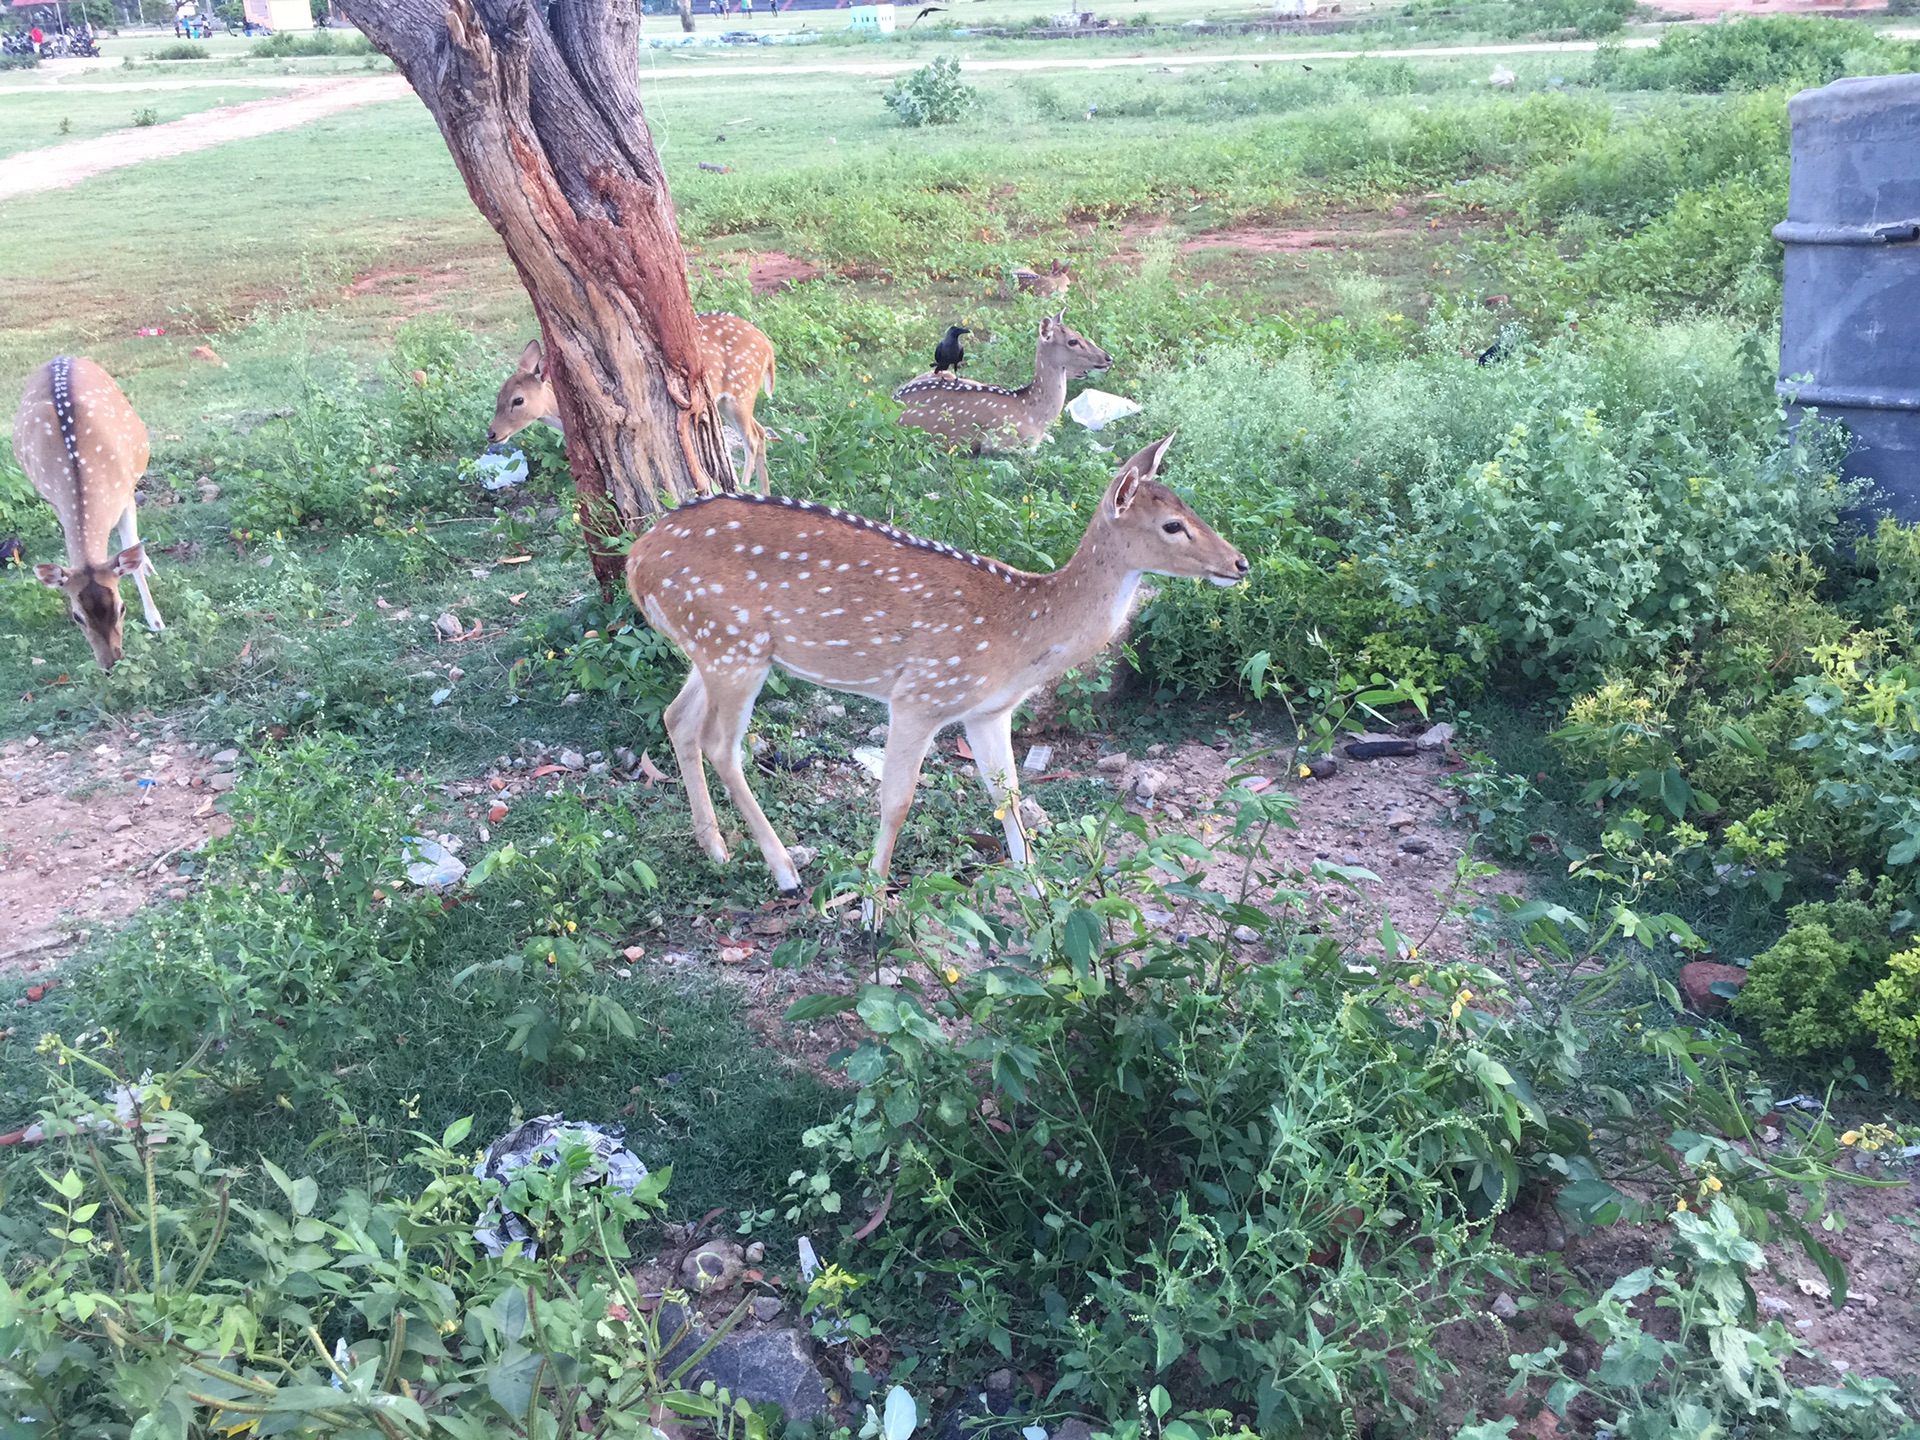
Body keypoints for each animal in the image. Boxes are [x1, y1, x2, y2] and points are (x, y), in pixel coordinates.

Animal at [13, 360, 161, 675]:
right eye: (77, 616)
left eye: (121, 607)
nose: (111, 663)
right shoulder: (54, 501)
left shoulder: (126, 495)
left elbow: (130, 550)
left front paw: (156, 620)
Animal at [487, 312, 779, 495]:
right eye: (498, 396)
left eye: (518, 400)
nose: (492, 433)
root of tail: (768, 347)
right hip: (733, 399)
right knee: (761, 431)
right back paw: (765, 490)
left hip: (741, 389)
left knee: (752, 438)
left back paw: (743, 487)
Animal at [618, 433, 1244, 898]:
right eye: (1172, 526)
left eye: (1190, 507)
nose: (1238, 563)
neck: (1021, 633)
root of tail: (636, 559)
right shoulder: (921, 692)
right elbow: (896, 802)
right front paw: (872, 911)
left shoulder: (988, 712)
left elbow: (1007, 797)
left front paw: (1041, 896)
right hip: (733, 644)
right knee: (721, 744)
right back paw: (785, 871)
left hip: (713, 647)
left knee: (677, 719)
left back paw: (717, 849)